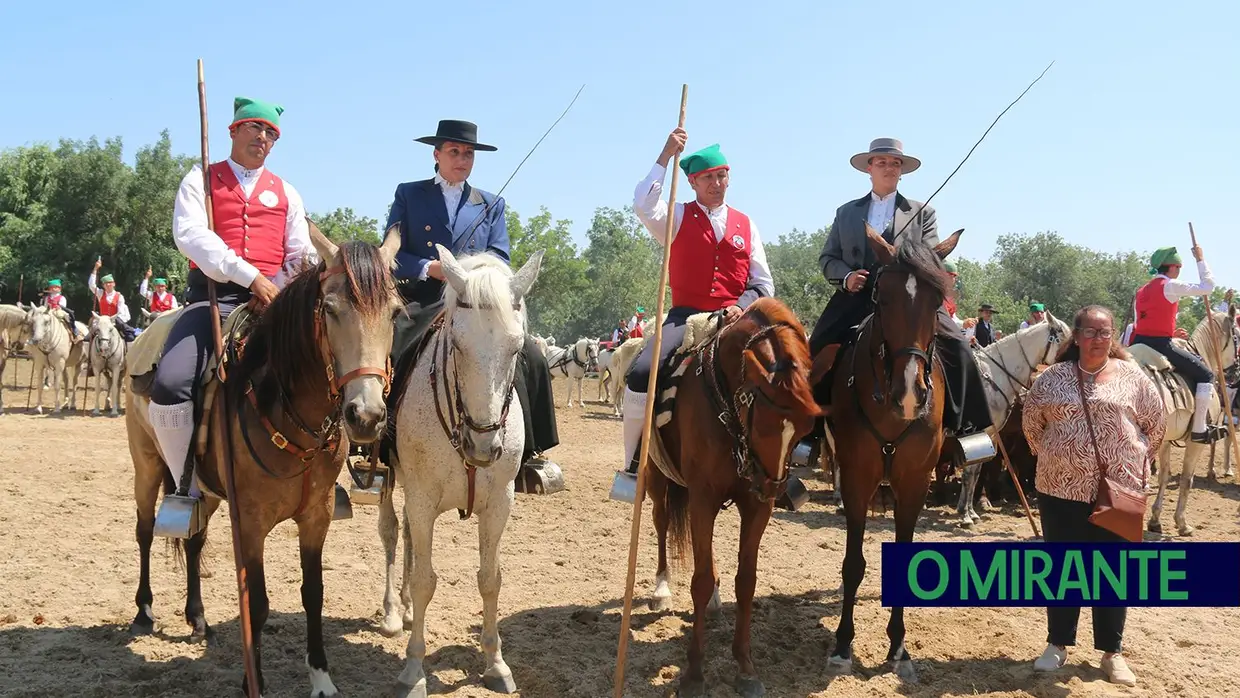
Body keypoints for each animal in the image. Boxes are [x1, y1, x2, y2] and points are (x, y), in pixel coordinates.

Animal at [125, 225, 399, 698]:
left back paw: (197, 617)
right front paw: (252, 680)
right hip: (147, 464)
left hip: (207, 489)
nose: (365, 416)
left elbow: (313, 592)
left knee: (195, 539)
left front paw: (321, 678)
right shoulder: (250, 521)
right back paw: (144, 612)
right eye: (330, 309)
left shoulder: (315, 516)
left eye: (396, 313)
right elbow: (257, 601)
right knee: (144, 530)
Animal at [376, 242, 543, 694]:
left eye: (516, 348)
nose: (483, 446)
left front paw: (496, 664)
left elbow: (490, 578)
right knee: (391, 531)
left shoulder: (499, 504)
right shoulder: (422, 498)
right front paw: (413, 669)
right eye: (457, 343)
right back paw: (393, 612)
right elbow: (425, 580)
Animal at [639, 297, 823, 698]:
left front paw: (745, 666)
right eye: (763, 423)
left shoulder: (755, 507)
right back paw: (662, 587)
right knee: (661, 524)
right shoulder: (702, 499)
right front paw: (694, 673)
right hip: (658, 480)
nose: (772, 488)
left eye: (806, 427)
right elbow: (699, 579)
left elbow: (746, 580)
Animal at [828, 228, 962, 684]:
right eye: (880, 297)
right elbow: (852, 563)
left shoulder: (915, 482)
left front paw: (899, 648)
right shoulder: (856, 478)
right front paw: (842, 644)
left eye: (937, 303)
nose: (909, 394)